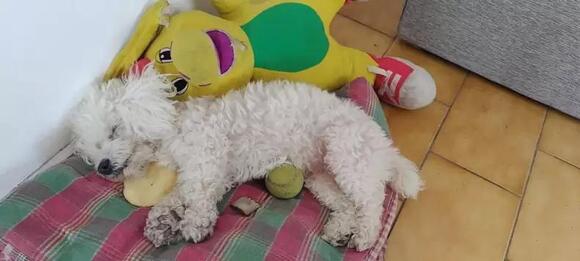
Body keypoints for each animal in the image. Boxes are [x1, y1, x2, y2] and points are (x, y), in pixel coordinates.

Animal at [71, 67, 422, 250]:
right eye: (90, 149)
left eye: (114, 129)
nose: (103, 166)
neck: (170, 130)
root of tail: (384, 144)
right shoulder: (204, 173)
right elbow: (176, 196)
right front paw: (161, 221)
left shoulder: (207, 158)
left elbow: (197, 195)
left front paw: (194, 224)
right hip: (321, 177)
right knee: (348, 205)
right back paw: (339, 231)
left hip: (345, 150)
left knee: (373, 201)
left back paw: (365, 236)